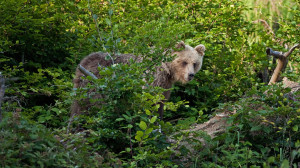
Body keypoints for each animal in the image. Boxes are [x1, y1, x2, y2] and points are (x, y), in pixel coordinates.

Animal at [71, 41, 205, 119]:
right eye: (184, 62)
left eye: (195, 63)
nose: (191, 75)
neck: (167, 71)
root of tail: (83, 62)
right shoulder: (152, 79)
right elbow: (149, 101)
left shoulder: (165, 85)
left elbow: (160, 103)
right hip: (96, 83)